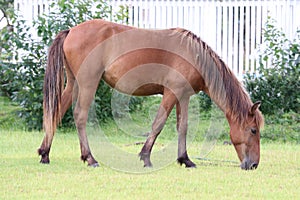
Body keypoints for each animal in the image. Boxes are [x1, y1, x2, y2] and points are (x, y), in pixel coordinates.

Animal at [38, 18, 264, 170]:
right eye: (253, 130)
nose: (253, 164)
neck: (194, 55)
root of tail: (71, 31)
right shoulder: (171, 93)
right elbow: (158, 124)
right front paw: (145, 157)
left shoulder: (183, 96)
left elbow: (183, 126)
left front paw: (185, 159)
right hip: (87, 83)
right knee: (80, 116)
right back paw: (90, 158)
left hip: (73, 84)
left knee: (57, 112)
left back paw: (45, 154)